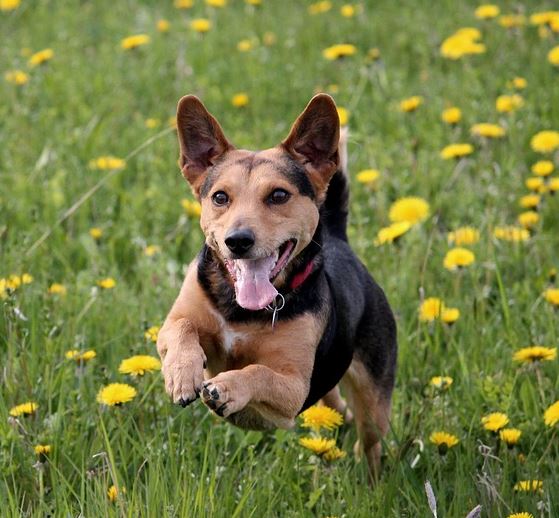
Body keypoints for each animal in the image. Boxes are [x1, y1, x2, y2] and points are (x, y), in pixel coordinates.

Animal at [155, 92, 396, 480]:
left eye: (279, 195)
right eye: (220, 197)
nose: (238, 241)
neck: (241, 310)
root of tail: (339, 240)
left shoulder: (294, 387)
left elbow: (258, 372)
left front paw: (227, 388)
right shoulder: (176, 320)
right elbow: (182, 329)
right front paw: (181, 373)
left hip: (374, 400)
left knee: (370, 440)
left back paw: (370, 479)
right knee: (336, 404)